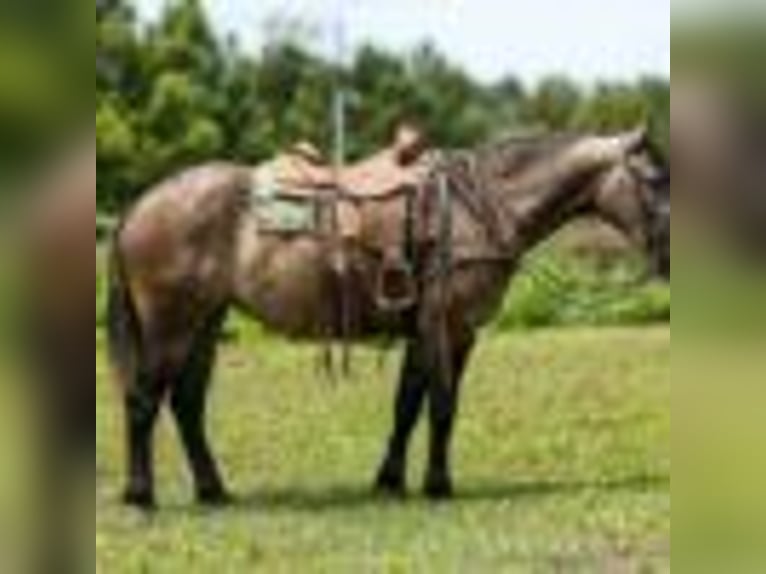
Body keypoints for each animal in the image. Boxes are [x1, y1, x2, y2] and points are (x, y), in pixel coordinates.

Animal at [107, 127, 669, 510]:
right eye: (655, 179)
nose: (669, 256)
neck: (480, 207)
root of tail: (140, 206)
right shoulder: (450, 328)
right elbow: (441, 407)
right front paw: (438, 485)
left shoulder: (429, 332)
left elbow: (408, 406)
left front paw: (391, 481)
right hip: (171, 326)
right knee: (143, 400)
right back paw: (141, 495)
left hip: (203, 324)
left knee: (186, 405)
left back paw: (213, 490)